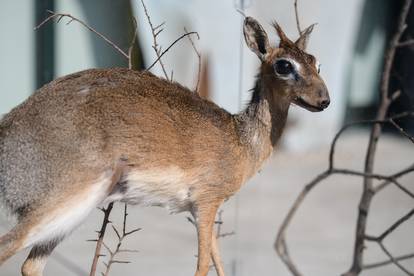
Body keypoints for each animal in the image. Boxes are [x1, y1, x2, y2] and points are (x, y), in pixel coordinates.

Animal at [0, 17, 330, 276]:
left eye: (316, 61)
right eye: (284, 65)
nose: (324, 100)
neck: (240, 139)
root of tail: (8, 130)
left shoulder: (202, 210)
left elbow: (219, 262)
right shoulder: (207, 203)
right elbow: (203, 265)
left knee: (30, 265)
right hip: (63, 199)